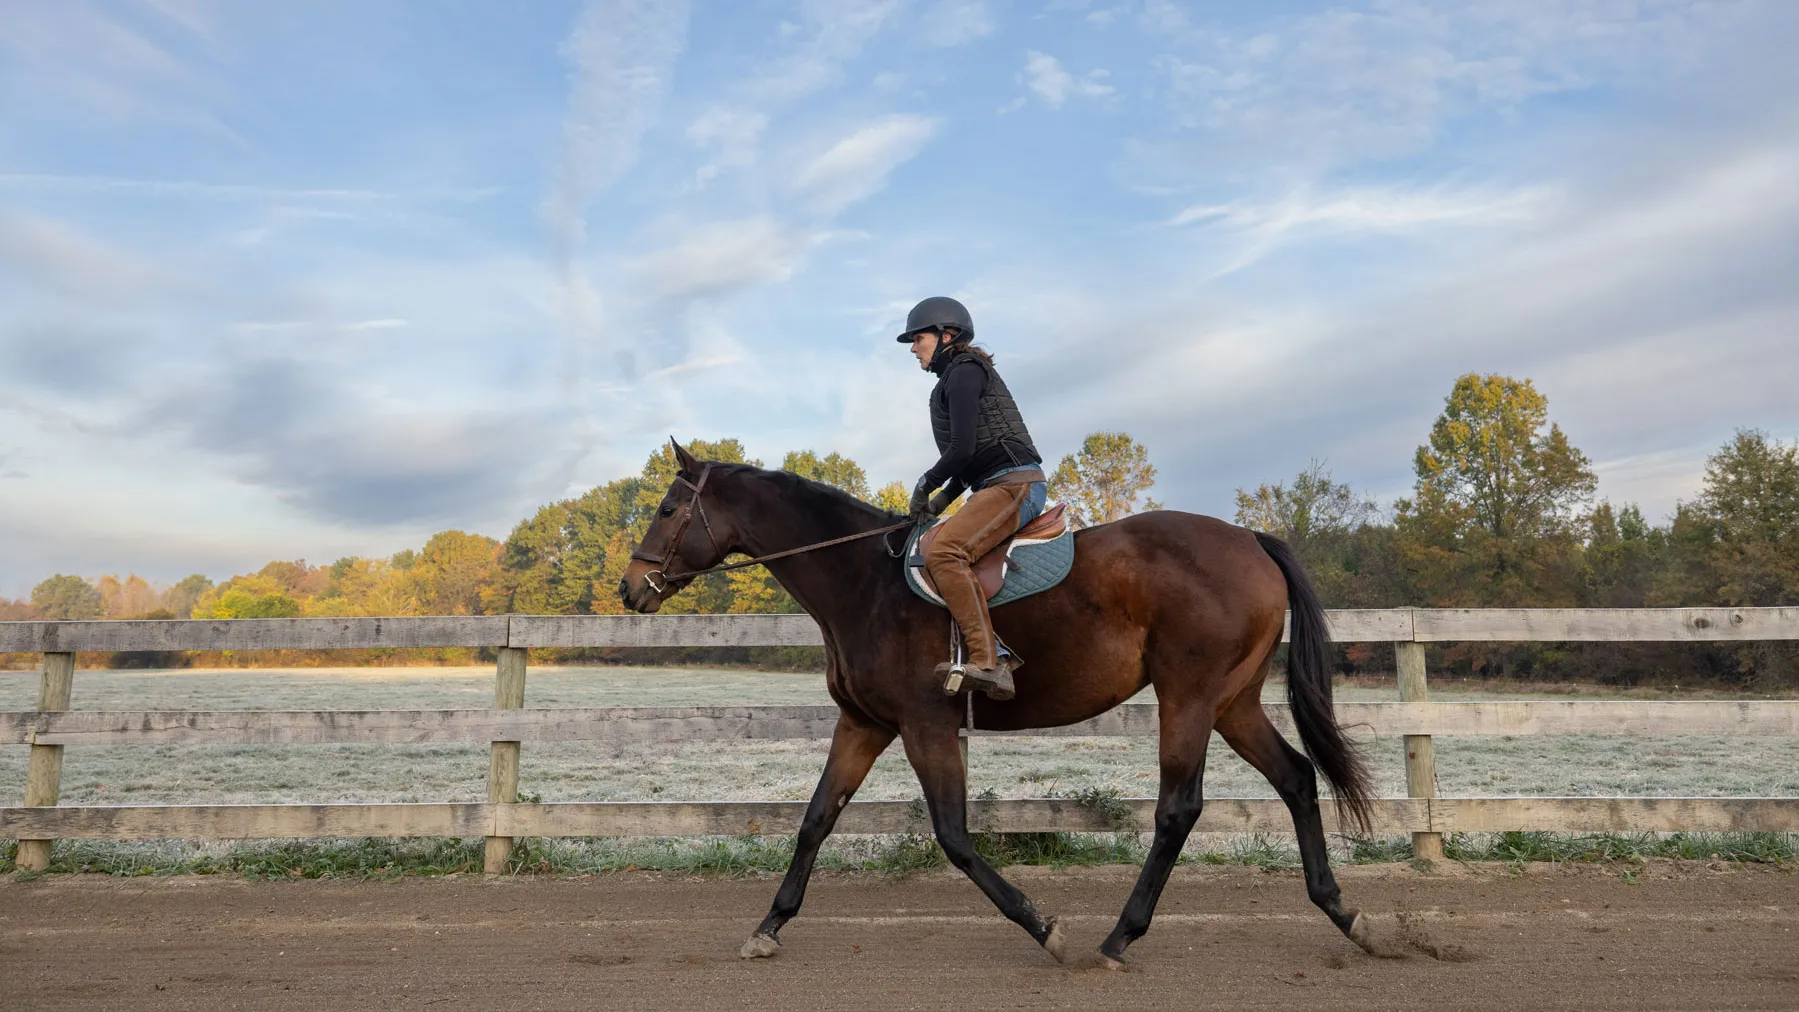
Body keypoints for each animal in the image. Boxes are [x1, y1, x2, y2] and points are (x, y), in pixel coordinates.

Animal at [618, 442, 1378, 967]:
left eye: (666, 509)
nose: (630, 589)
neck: (861, 582)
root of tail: (1251, 540)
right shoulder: (864, 724)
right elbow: (814, 822)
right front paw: (767, 928)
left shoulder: (925, 726)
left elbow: (954, 836)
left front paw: (1043, 927)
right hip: (1232, 700)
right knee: (1296, 778)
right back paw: (1345, 914)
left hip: (1188, 696)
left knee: (1178, 809)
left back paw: (1117, 938)